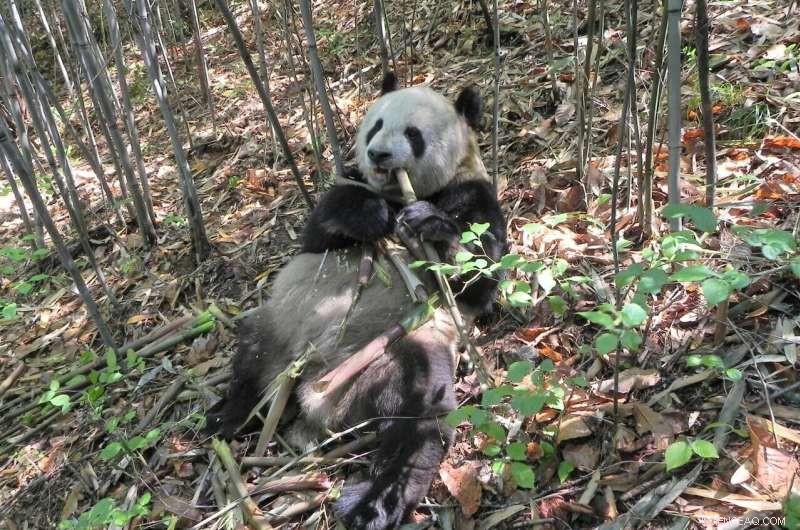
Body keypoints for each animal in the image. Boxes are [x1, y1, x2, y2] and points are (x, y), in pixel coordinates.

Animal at [208, 73, 506, 530]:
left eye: (413, 134)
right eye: (376, 125)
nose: (378, 153)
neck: (399, 194)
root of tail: (315, 392)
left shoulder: (472, 191)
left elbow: (479, 278)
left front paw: (430, 223)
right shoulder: (344, 192)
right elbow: (318, 232)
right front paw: (370, 215)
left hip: (391, 353)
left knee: (419, 415)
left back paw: (371, 505)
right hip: (282, 322)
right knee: (250, 356)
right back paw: (227, 415)